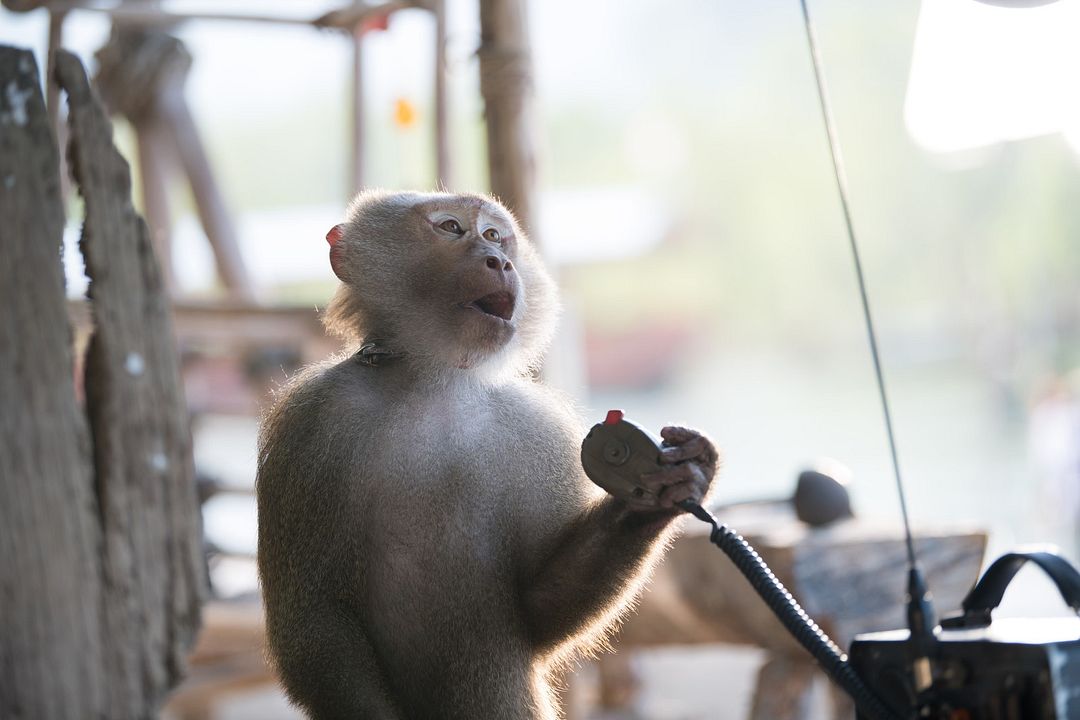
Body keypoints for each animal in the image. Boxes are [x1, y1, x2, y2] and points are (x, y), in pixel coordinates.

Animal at [257, 188, 721, 716]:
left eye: (495, 235)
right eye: (451, 228)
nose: (499, 260)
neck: (436, 382)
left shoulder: (540, 430)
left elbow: (537, 608)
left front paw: (655, 497)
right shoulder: (312, 419)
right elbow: (315, 620)